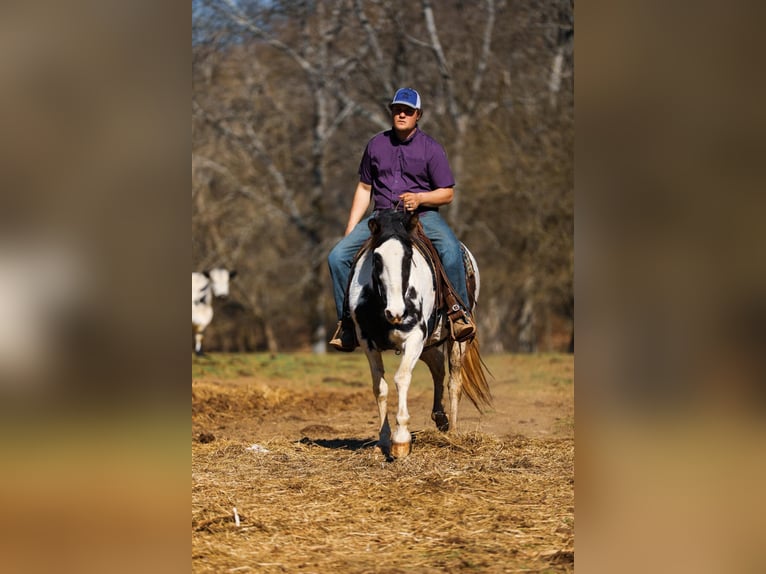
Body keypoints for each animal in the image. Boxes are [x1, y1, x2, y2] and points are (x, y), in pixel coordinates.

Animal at [348, 210, 492, 458]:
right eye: (377, 259)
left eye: (408, 257)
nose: (396, 312)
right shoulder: (368, 342)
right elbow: (380, 387)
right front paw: (383, 440)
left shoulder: (415, 337)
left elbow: (401, 378)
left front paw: (401, 441)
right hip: (428, 344)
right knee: (437, 366)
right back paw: (440, 418)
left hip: (456, 340)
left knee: (454, 381)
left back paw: (453, 432)